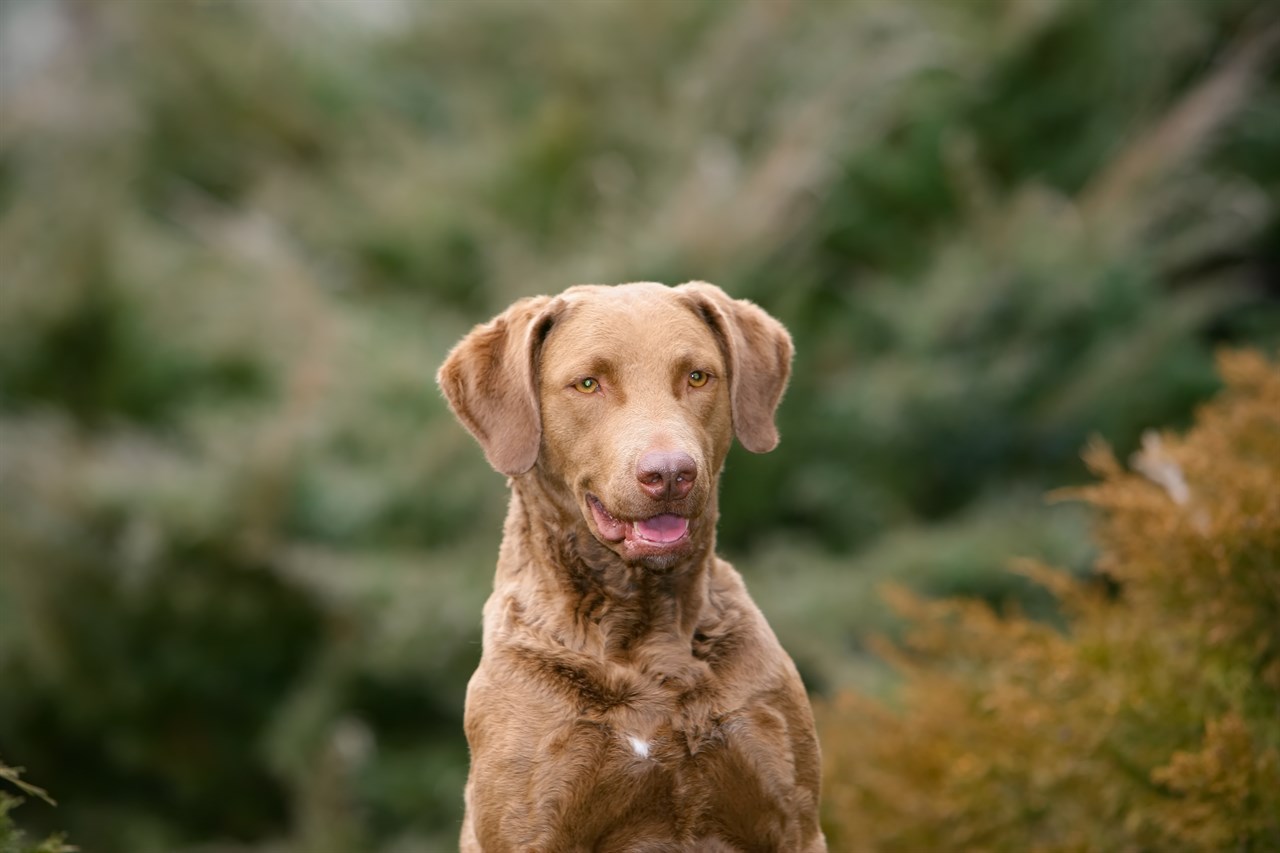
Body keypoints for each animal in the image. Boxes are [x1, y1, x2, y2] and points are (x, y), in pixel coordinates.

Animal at [435, 281, 824, 845]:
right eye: (588, 384)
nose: (670, 474)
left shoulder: (793, 820)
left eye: (697, 376)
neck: (644, 630)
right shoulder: (531, 827)